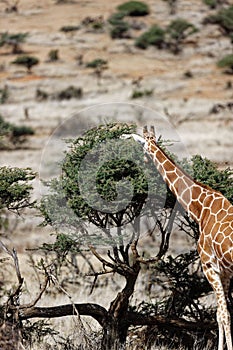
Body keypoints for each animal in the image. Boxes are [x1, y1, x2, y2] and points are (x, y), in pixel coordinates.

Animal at [122, 126, 233, 350]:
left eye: (138, 143)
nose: (122, 137)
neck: (201, 209)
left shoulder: (210, 266)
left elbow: (222, 315)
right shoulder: (225, 272)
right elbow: (222, 314)